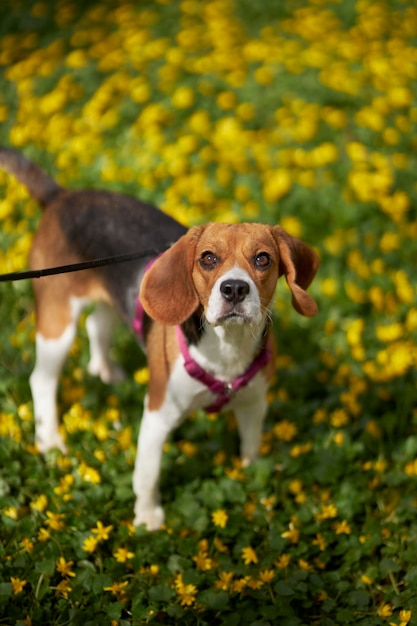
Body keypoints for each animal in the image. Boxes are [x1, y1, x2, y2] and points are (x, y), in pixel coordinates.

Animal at [0, 146, 318, 528]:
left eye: (263, 259)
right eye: (207, 258)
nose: (234, 289)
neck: (227, 349)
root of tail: (62, 197)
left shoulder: (254, 404)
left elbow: (250, 447)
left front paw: (251, 478)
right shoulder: (157, 416)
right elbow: (147, 475)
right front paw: (149, 517)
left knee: (98, 325)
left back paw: (107, 371)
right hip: (56, 323)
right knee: (42, 380)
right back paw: (49, 440)